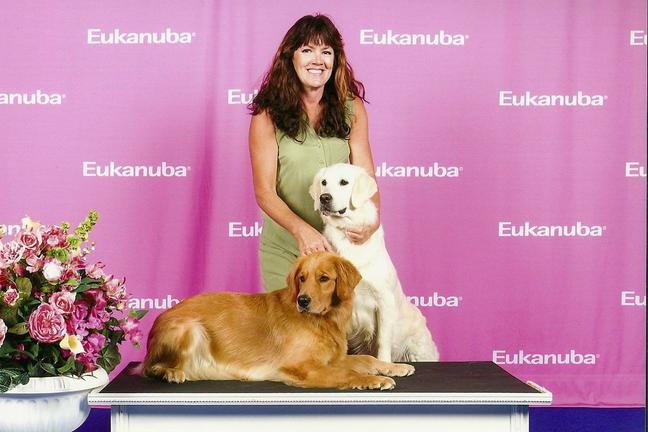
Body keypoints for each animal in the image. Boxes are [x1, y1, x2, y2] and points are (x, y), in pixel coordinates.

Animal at [142, 252, 414, 390]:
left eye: (324, 278)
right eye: (302, 278)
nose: (303, 300)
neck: (323, 321)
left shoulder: (333, 359)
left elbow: (367, 359)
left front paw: (394, 367)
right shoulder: (303, 367)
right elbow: (348, 374)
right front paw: (374, 380)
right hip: (191, 328)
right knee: (149, 367)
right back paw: (170, 372)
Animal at [309, 163, 439, 362]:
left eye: (344, 182)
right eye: (324, 182)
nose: (324, 198)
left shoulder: (384, 299)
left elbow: (382, 339)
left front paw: (384, 363)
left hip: (418, 349)